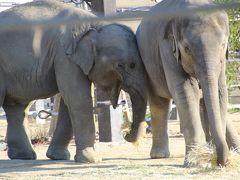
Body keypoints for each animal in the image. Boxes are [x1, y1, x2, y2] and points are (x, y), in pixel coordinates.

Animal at [0, 0, 147, 163]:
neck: (96, 24)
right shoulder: (64, 56)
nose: (126, 133)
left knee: (18, 108)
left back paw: (24, 156)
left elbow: (69, 102)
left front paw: (59, 157)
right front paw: (92, 159)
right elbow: (78, 99)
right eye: (122, 65)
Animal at [136, 0, 239, 166]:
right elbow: (187, 90)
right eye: (187, 48)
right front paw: (194, 161)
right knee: (159, 103)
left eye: (223, 45)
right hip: (147, 65)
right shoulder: (166, 47)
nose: (219, 161)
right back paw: (159, 155)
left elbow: (220, 92)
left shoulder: (222, 60)